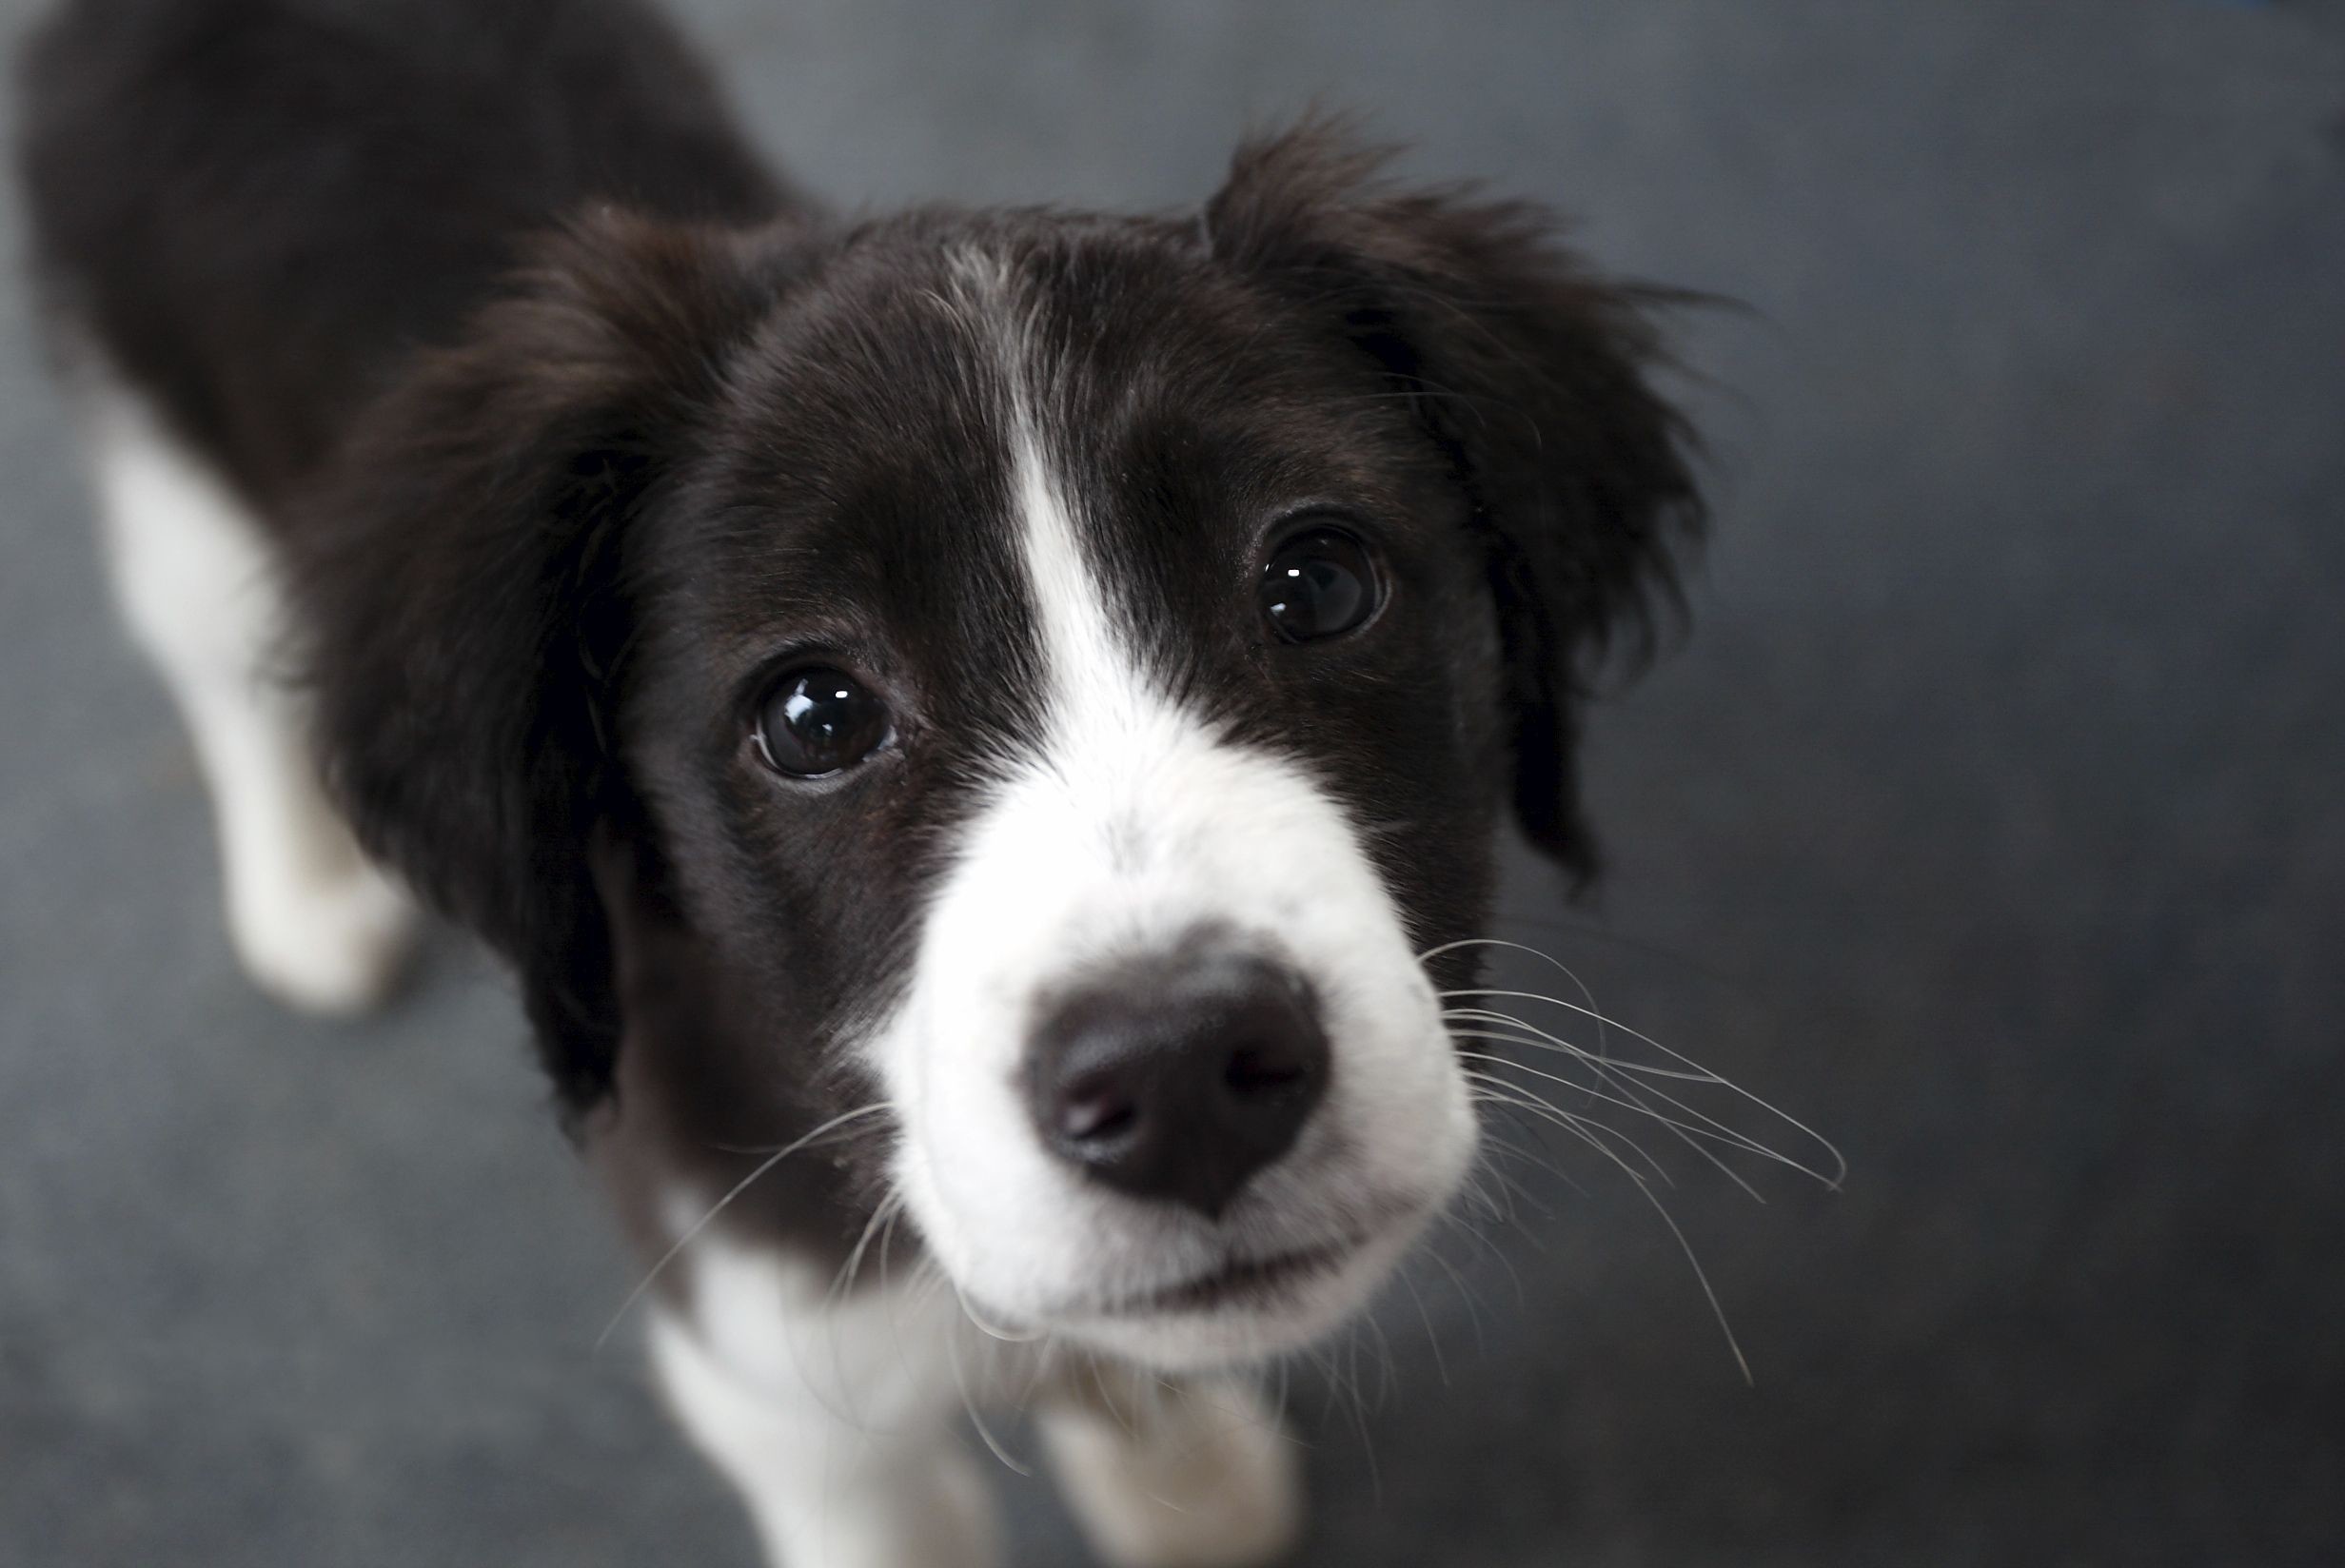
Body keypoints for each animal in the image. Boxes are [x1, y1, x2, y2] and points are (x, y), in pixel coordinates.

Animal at [18, 3, 1706, 1556]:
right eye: (817, 715)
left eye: (1319, 583)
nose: (1178, 1075)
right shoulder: (772, 1372)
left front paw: (1181, 1475)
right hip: (163, 450)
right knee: (218, 661)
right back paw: (306, 893)